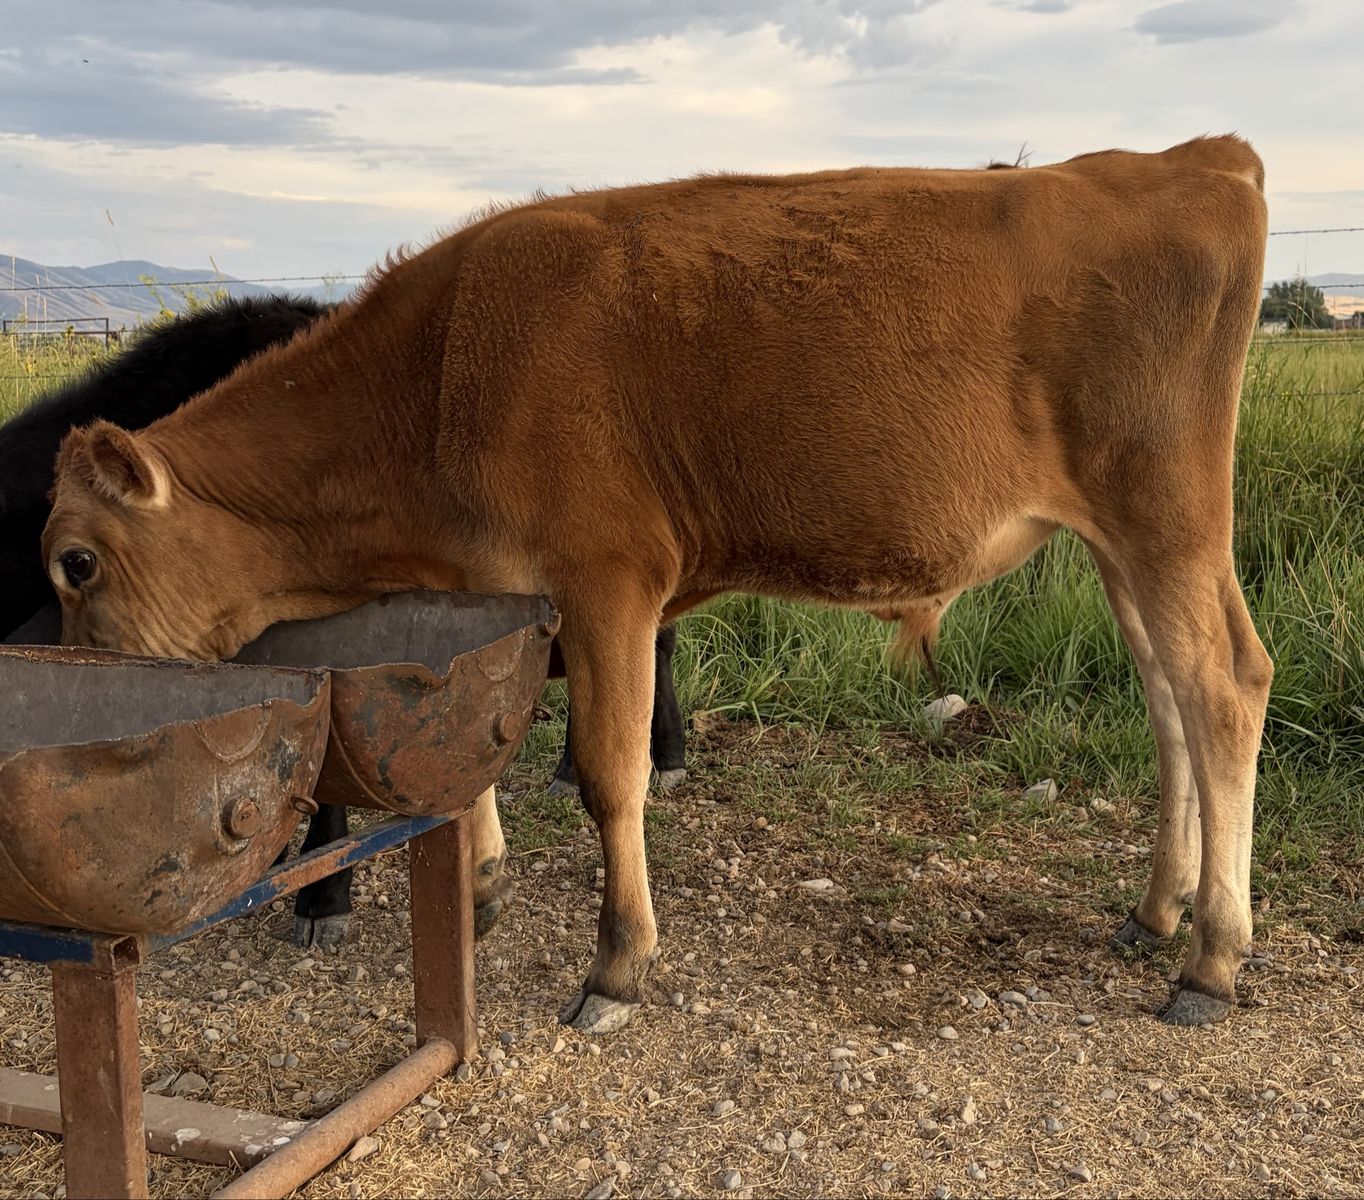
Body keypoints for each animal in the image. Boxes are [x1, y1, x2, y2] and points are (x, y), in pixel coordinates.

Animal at [42, 135, 1272, 1032]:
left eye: (75, 561)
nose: (92, 693)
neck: (435, 372)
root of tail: (1184, 158)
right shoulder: (498, 591)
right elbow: (469, 748)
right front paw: (480, 895)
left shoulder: (609, 584)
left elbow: (609, 773)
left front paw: (615, 965)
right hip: (1117, 542)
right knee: (1168, 700)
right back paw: (1158, 910)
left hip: (1165, 517)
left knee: (1222, 689)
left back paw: (1210, 959)